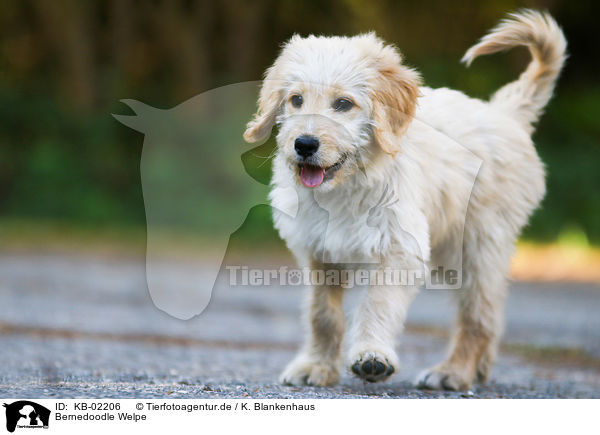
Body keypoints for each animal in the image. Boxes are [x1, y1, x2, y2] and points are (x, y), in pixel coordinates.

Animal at [241, 11, 564, 392]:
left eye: (343, 104)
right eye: (296, 100)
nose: (304, 144)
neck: (349, 184)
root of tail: (505, 115)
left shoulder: (399, 248)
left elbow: (377, 303)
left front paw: (372, 356)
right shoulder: (318, 251)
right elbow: (322, 315)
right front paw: (317, 366)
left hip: (478, 246)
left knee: (479, 315)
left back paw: (455, 371)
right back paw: (477, 370)